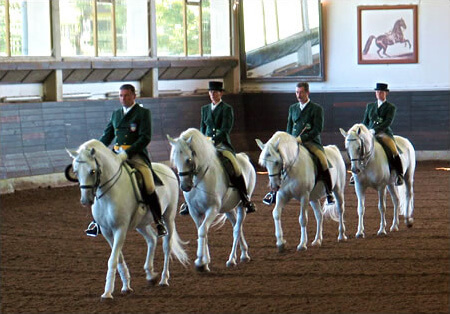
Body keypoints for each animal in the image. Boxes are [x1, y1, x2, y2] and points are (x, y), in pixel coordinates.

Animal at [66, 139, 187, 300]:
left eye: (92, 171)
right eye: (76, 171)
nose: (85, 200)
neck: (109, 192)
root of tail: (167, 168)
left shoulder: (120, 229)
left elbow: (112, 259)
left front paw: (107, 292)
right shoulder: (106, 231)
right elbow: (118, 259)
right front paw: (126, 286)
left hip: (169, 216)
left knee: (167, 246)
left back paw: (163, 279)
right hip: (141, 224)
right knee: (152, 239)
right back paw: (150, 275)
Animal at [166, 129, 256, 272]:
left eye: (188, 159)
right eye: (175, 160)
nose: (185, 187)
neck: (200, 178)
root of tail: (244, 157)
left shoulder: (212, 209)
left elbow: (203, 230)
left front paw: (200, 262)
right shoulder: (195, 211)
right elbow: (202, 232)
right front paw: (205, 262)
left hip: (242, 205)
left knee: (237, 229)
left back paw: (231, 259)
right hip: (228, 208)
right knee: (237, 225)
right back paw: (244, 254)